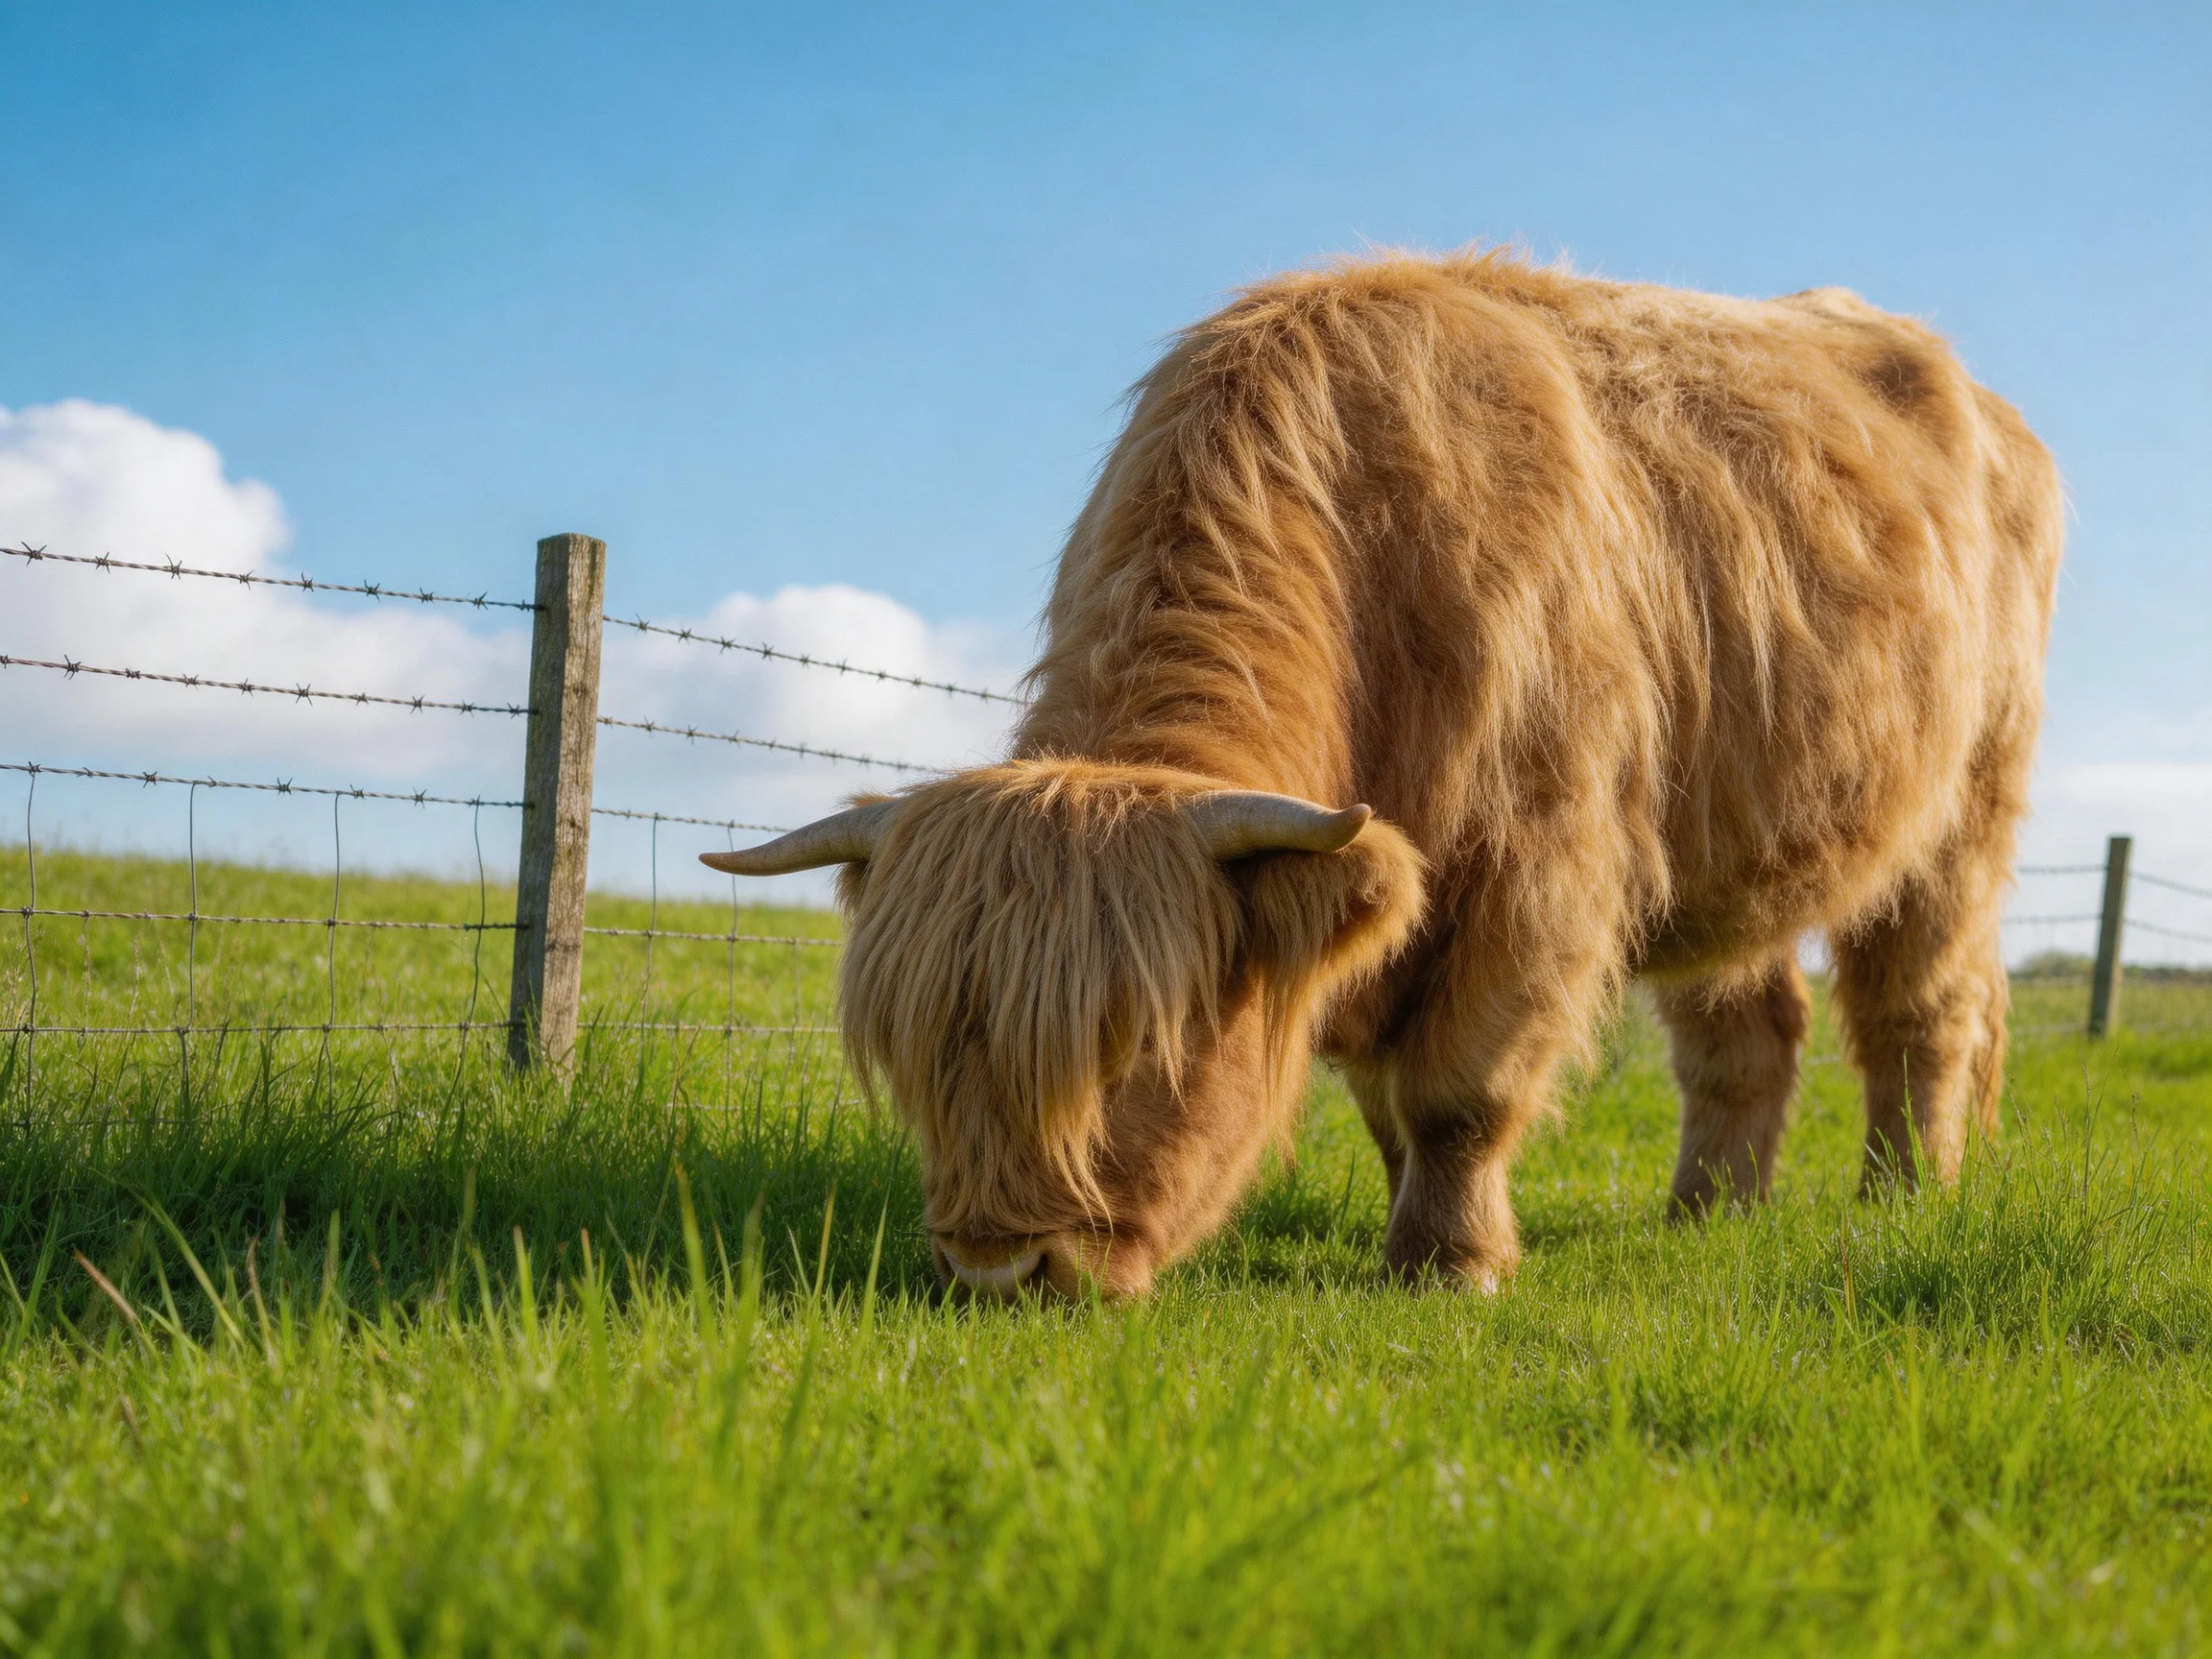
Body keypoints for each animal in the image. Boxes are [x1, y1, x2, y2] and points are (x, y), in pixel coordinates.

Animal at [705, 250, 2063, 1301]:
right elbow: (1384, 1093)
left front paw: (1452, 1263)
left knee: (1922, 1012)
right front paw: (1410, 1220)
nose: (995, 1267)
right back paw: (1709, 1213)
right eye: (922, 1050)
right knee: (1749, 1032)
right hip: (1736, 840)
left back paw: (1904, 1196)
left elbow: (1463, 1087)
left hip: (1965, 809)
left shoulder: (1538, 869)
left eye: (1140, 1047)